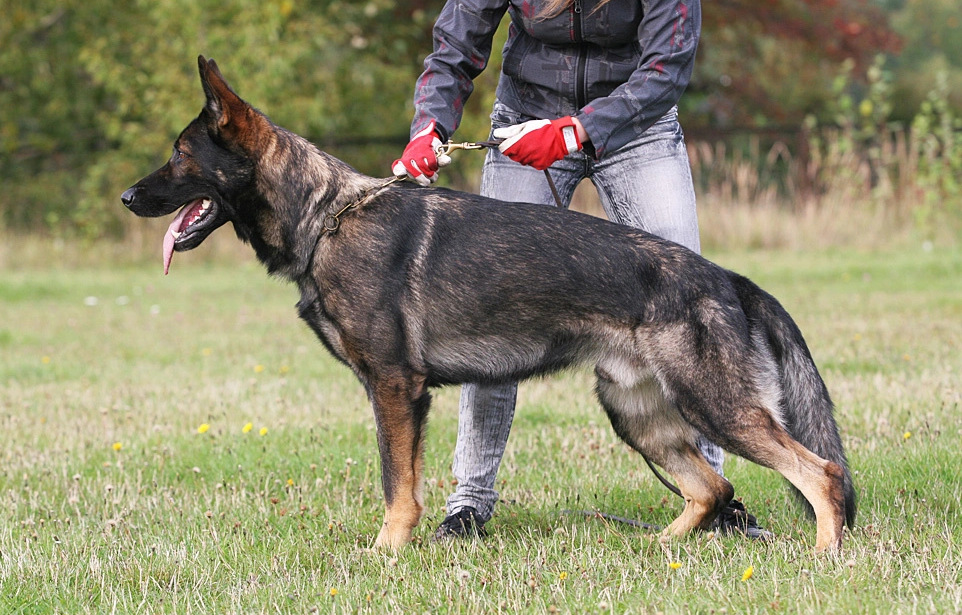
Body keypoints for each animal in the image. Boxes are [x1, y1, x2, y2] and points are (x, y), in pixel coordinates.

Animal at [122, 57, 856, 552]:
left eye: (179, 154)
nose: (127, 198)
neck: (328, 216)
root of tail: (726, 276)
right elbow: (401, 477)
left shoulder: (396, 388)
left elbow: (397, 481)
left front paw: (388, 551)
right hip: (636, 413)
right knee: (712, 487)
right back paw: (661, 547)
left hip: (716, 408)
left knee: (818, 472)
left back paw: (823, 553)